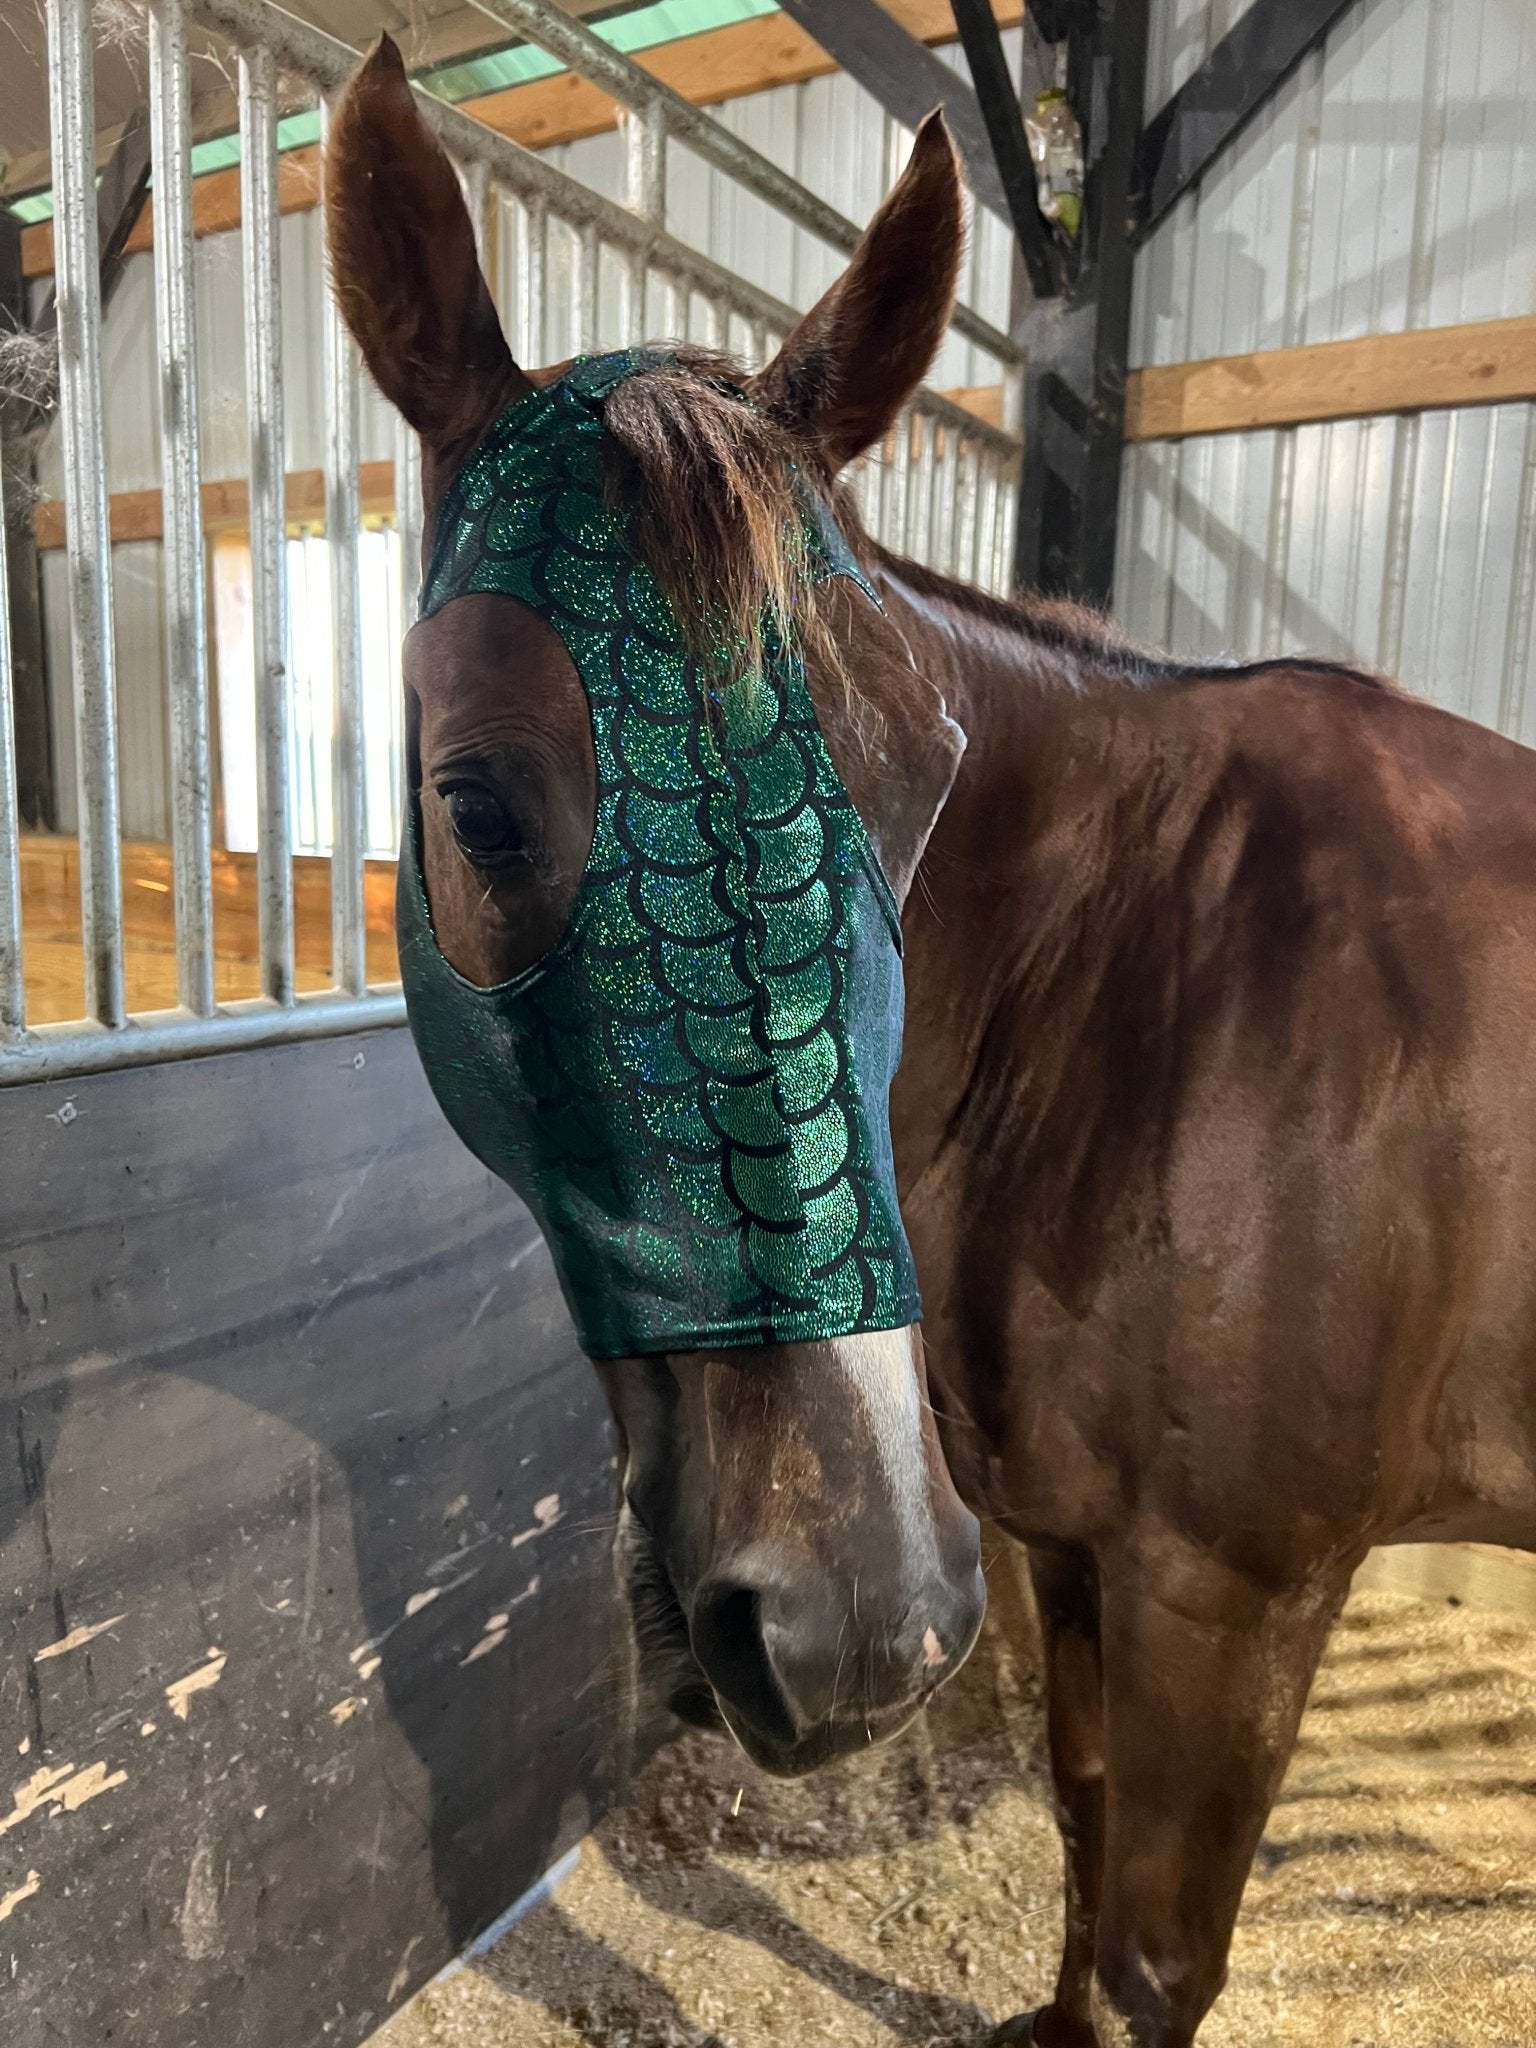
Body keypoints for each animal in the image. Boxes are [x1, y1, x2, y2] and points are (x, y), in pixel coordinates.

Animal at [324, 38, 1536, 2047]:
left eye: (927, 788)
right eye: (474, 806)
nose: (859, 1616)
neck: (1156, 990)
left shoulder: (1236, 1599)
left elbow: (1153, 1958)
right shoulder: (1074, 1557)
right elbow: (1079, 1817)